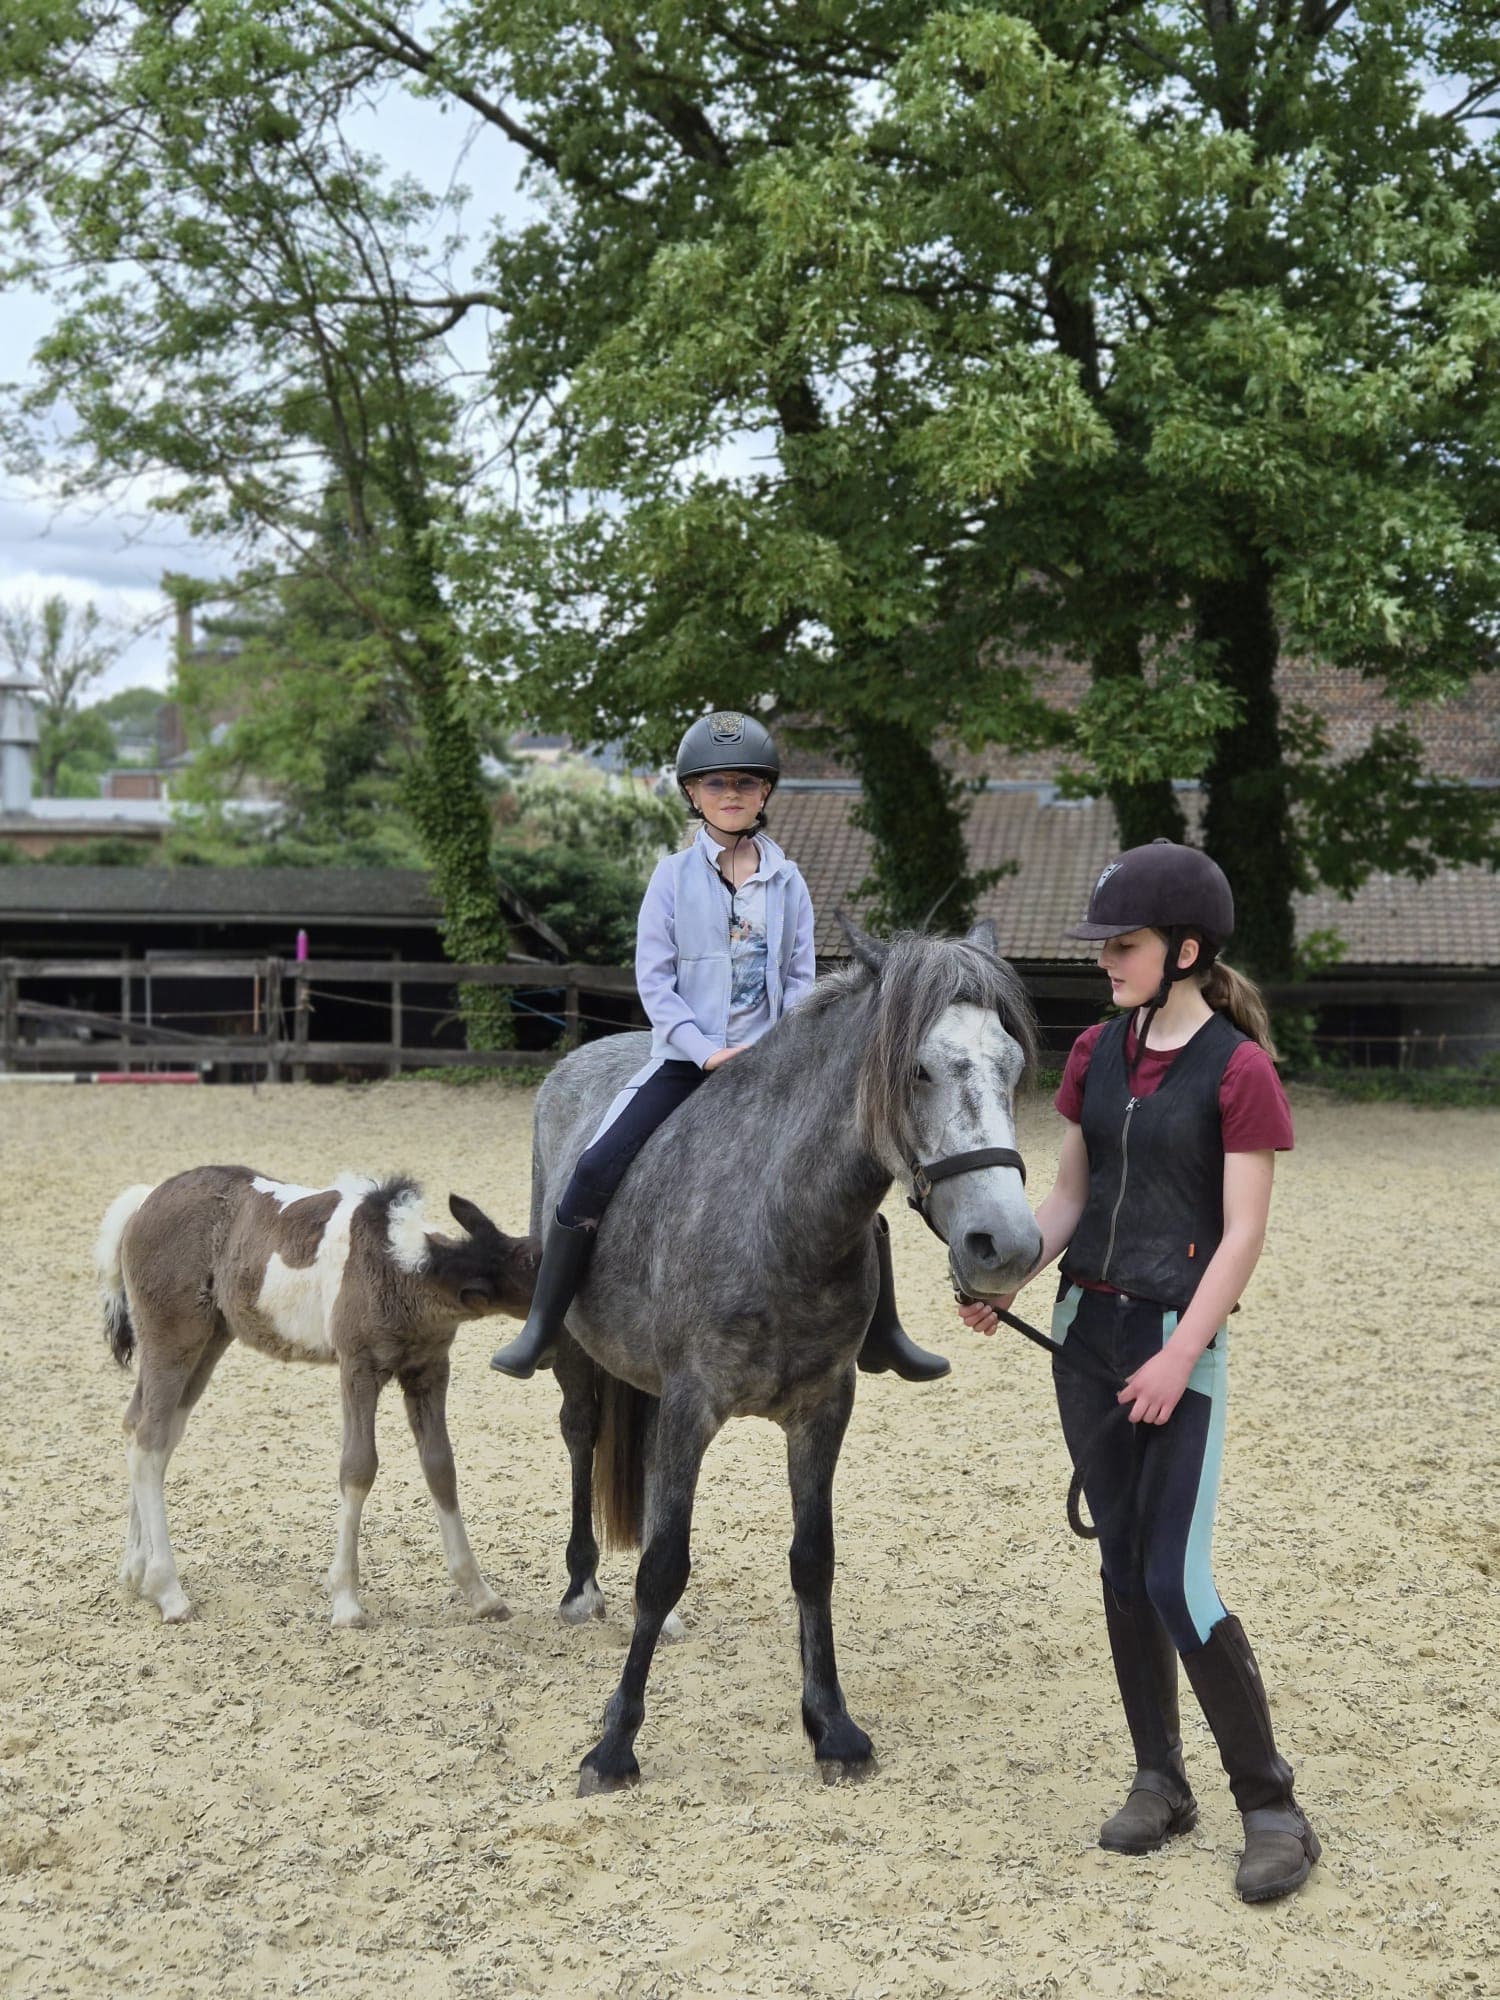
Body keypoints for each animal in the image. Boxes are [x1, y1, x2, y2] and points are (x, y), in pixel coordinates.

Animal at [528, 920, 1043, 1793]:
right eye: (918, 1069)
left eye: (1010, 1065)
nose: (1004, 1246)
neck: (780, 1217)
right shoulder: (693, 1406)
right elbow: (662, 1565)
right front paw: (615, 1744)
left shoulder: (822, 1408)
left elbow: (813, 1560)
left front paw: (832, 1727)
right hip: (572, 1349)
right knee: (578, 1435)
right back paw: (580, 1585)